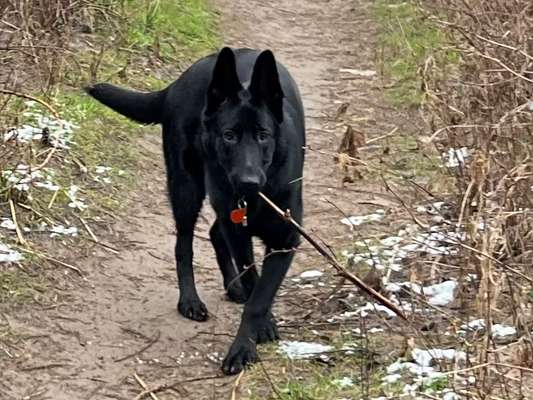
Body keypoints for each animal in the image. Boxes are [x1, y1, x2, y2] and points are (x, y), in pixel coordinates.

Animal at [86, 47, 304, 376]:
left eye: (263, 135)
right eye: (229, 135)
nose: (248, 181)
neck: (259, 194)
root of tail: (178, 83)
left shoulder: (284, 240)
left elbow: (259, 297)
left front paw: (248, 340)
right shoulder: (240, 232)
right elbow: (254, 284)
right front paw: (253, 337)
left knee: (215, 232)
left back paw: (232, 287)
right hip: (186, 187)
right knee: (184, 245)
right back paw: (190, 300)